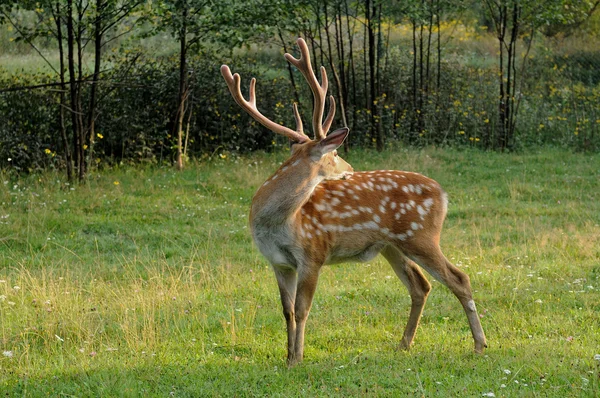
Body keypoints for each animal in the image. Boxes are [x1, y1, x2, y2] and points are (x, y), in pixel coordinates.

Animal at [221, 38, 488, 366]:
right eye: (335, 154)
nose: (350, 168)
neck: (278, 223)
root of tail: (443, 193)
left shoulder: (313, 252)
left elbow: (302, 309)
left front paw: (297, 358)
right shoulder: (278, 262)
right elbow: (287, 312)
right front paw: (287, 355)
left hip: (420, 235)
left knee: (458, 277)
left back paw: (479, 344)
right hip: (391, 245)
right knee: (420, 285)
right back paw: (404, 344)